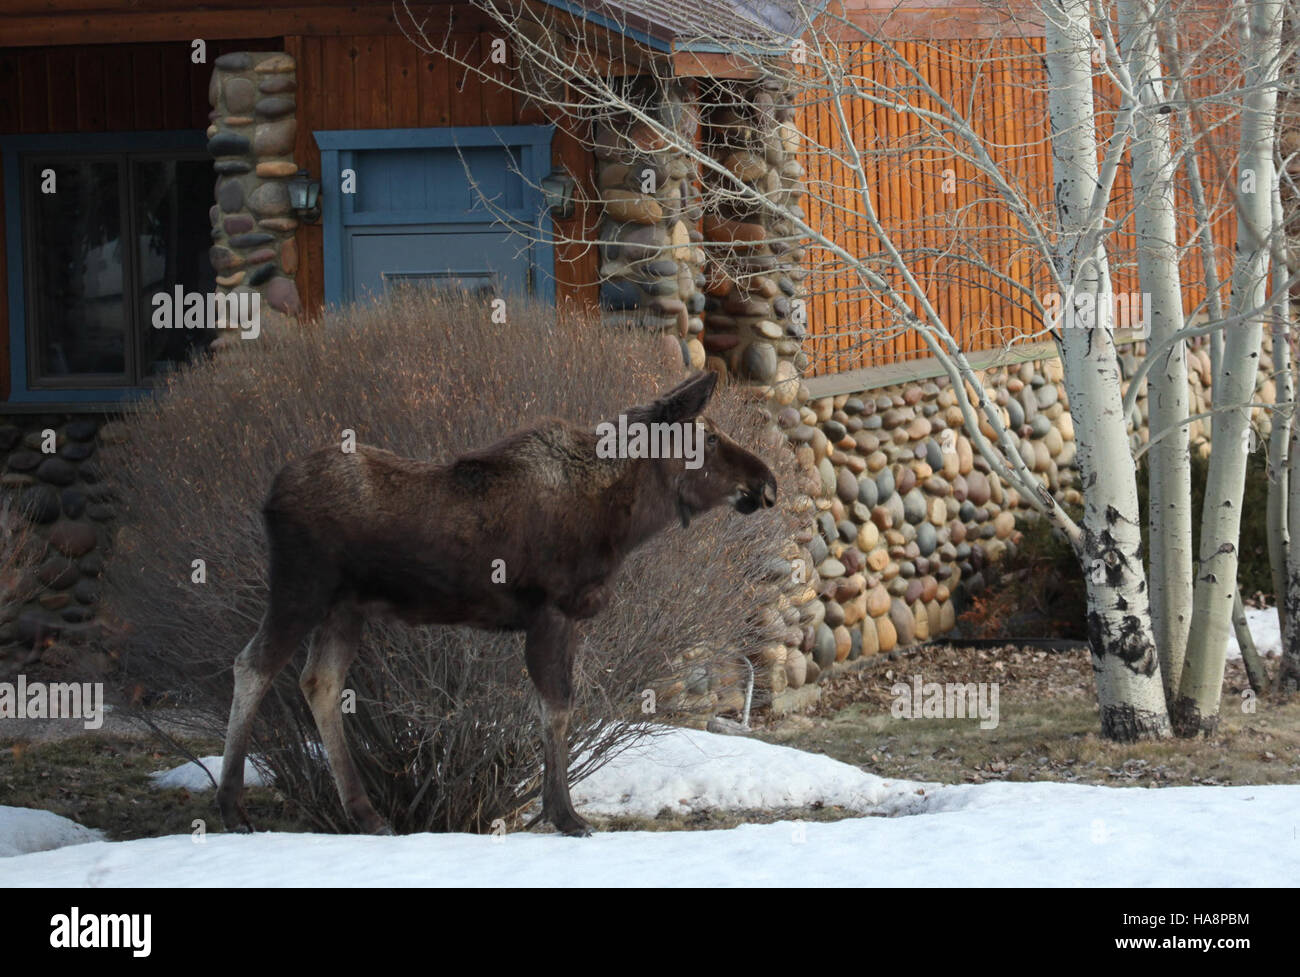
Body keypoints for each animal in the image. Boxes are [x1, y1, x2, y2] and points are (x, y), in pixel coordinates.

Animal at [218, 368, 774, 836]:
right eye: (709, 438)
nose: (767, 483)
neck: (624, 521)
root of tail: (269, 498)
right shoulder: (551, 611)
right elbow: (557, 707)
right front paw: (565, 815)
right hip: (302, 590)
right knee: (252, 665)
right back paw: (232, 808)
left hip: (344, 609)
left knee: (320, 682)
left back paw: (366, 815)